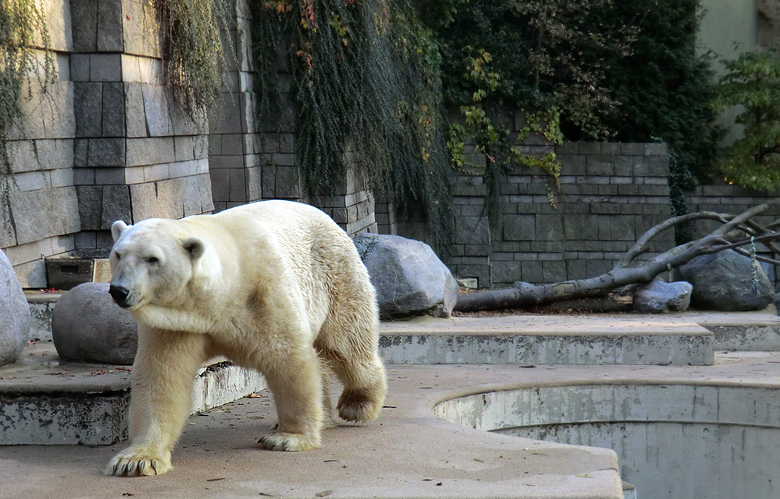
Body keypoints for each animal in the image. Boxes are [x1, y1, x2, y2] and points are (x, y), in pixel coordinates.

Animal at [102, 199, 388, 476]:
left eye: (153, 259)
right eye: (118, 254)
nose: (119, 290)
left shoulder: (265, 295)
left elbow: (290, 361)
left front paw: (288, 438)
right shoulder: (177, 322)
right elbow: (161, 378)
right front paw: (137, 460)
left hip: (334, 275)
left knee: (347, 344)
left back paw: (358, 404)